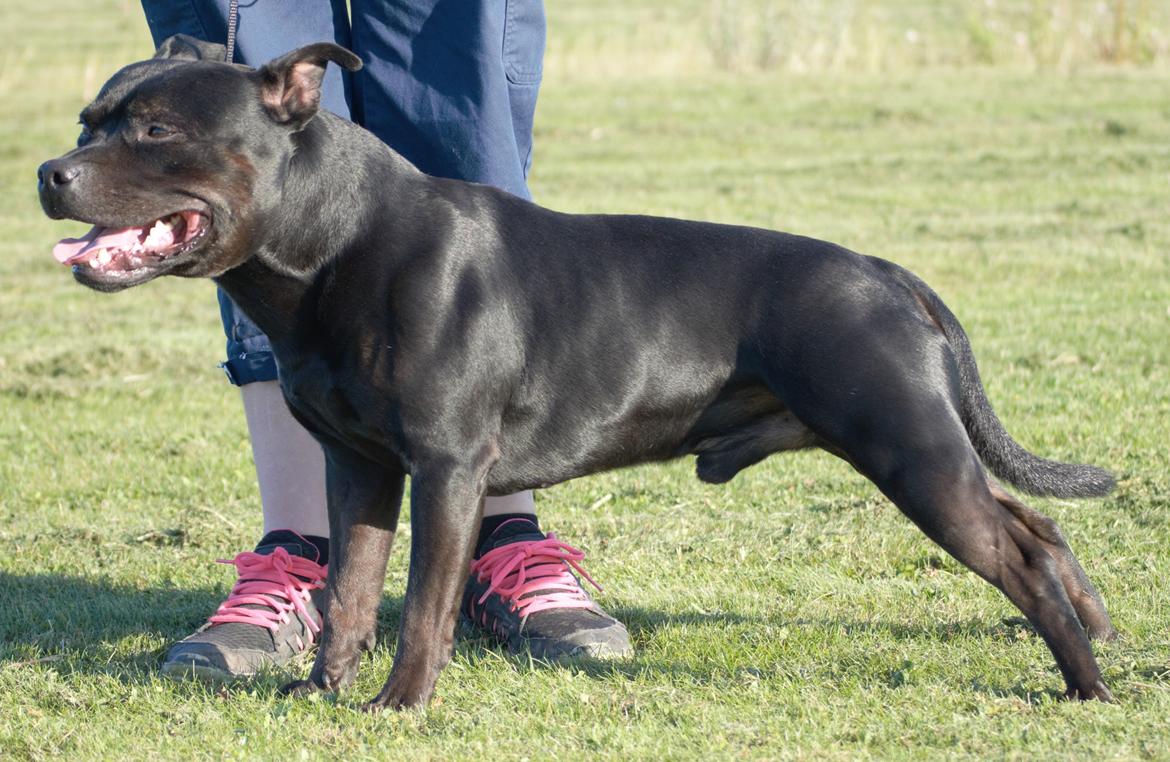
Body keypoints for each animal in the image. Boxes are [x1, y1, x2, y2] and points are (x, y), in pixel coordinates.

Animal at [34, 37, 1113, 711]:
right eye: (89, 122)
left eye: (155, 131)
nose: (49, 172)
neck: (338, 241)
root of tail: (889, 274)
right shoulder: (359, 465)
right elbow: (350, 589)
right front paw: (321, 692)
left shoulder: (448, 468)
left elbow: (422, 603)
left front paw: (399, 705)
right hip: (919, 447)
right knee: (1033, 522)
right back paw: (1094, 624)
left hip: (908, 449)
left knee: (1015, 548)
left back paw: (1085, 683)